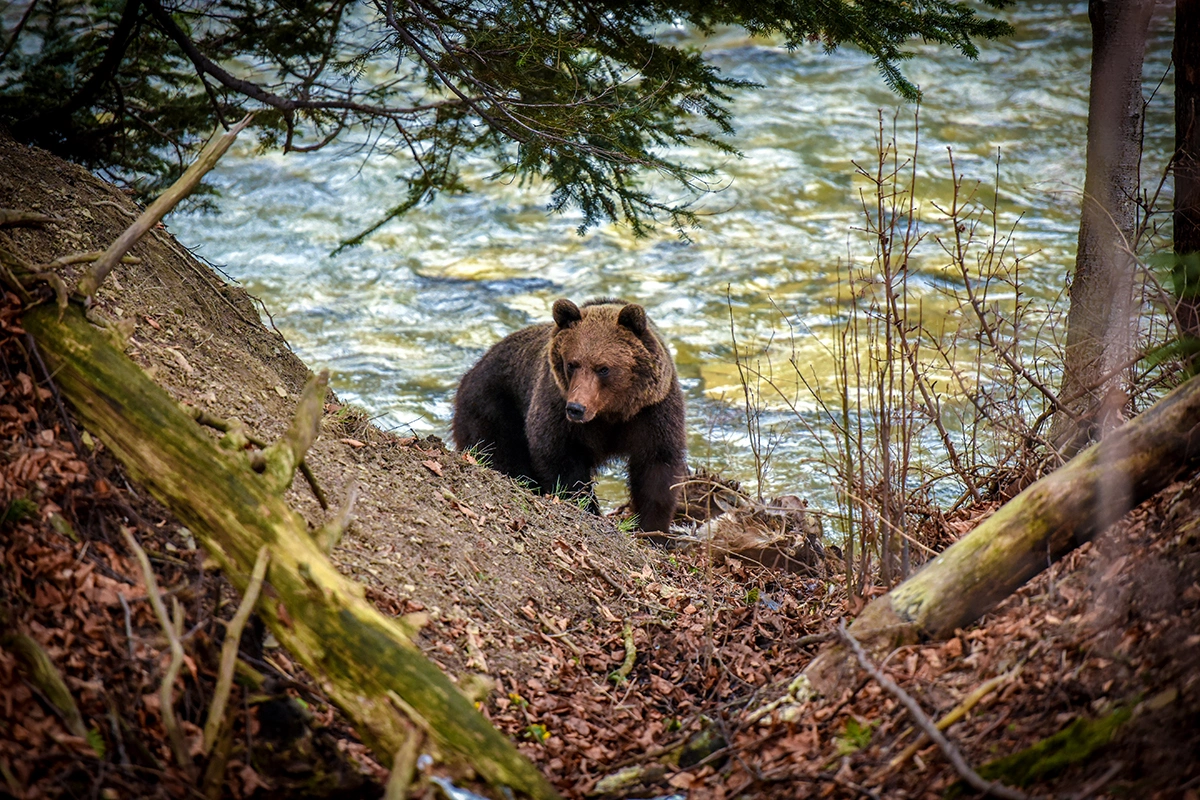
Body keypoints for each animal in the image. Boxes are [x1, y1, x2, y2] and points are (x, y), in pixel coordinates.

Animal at [451, 297, 686, 534]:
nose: (576, 408)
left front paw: (654, 529)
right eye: (572, 364)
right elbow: (560, 459)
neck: (610, 412)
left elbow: (657, 467)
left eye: (603, 368)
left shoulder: (651, 412)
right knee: (500, 453)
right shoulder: (557, 408)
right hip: (493, 407)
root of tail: (472, 370)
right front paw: (587, 506)